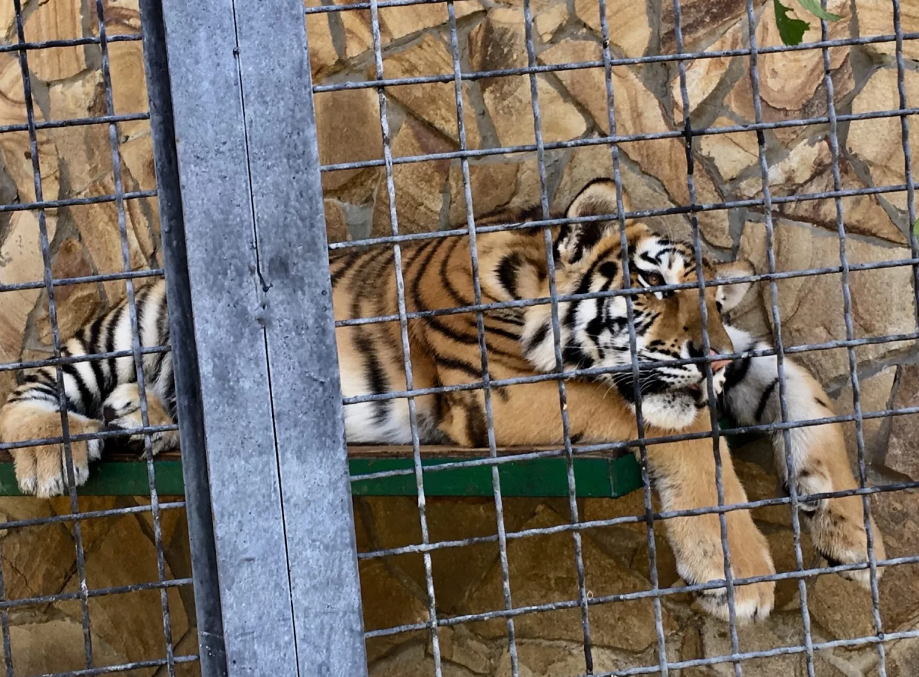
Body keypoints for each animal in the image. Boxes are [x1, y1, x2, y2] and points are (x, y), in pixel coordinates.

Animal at [3, 180, 888, 624]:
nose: (706, 353)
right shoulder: (503, 392)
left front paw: (850, 528)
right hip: (130, 329)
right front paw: (738, 577)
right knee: (32, 379)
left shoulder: (736, 362)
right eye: (653, 287)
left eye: (708, 299)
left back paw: (142, 419)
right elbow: (685, 435)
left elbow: (804, 386)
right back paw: (57, 446)